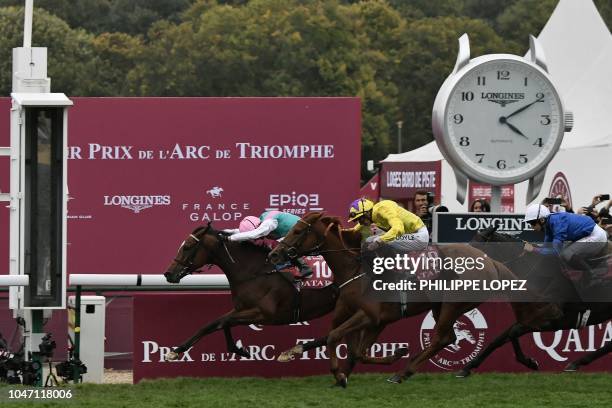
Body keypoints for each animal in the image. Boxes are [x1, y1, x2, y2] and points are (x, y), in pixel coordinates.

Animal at [163, 223, 342, 360]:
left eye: (187, 247)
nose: (168, 274)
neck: (254, 273)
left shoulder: (264, 314)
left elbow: (224, 322)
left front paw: (237, 349)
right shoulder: (241, 308)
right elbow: (213, 324)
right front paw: (175, 351)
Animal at [268, 212, 560, 384]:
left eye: (297, 231)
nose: (274, 254)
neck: (355, 269)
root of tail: (489, 259)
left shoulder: (369, 315)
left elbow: (334, 338)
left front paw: (340, 375)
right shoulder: (367, 318)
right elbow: (349, 346)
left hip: (453, 303)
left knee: (441, 337)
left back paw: (402, 373)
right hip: (440, 306)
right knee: (449, 337)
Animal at [460, 226, 612, 376]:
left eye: (476, 247)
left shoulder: (549, 319)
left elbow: (513, 332)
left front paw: (530, 362)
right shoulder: (528, 318)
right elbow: (498, 339)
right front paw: (467, 368)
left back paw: (576, 363)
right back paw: (576, 363)